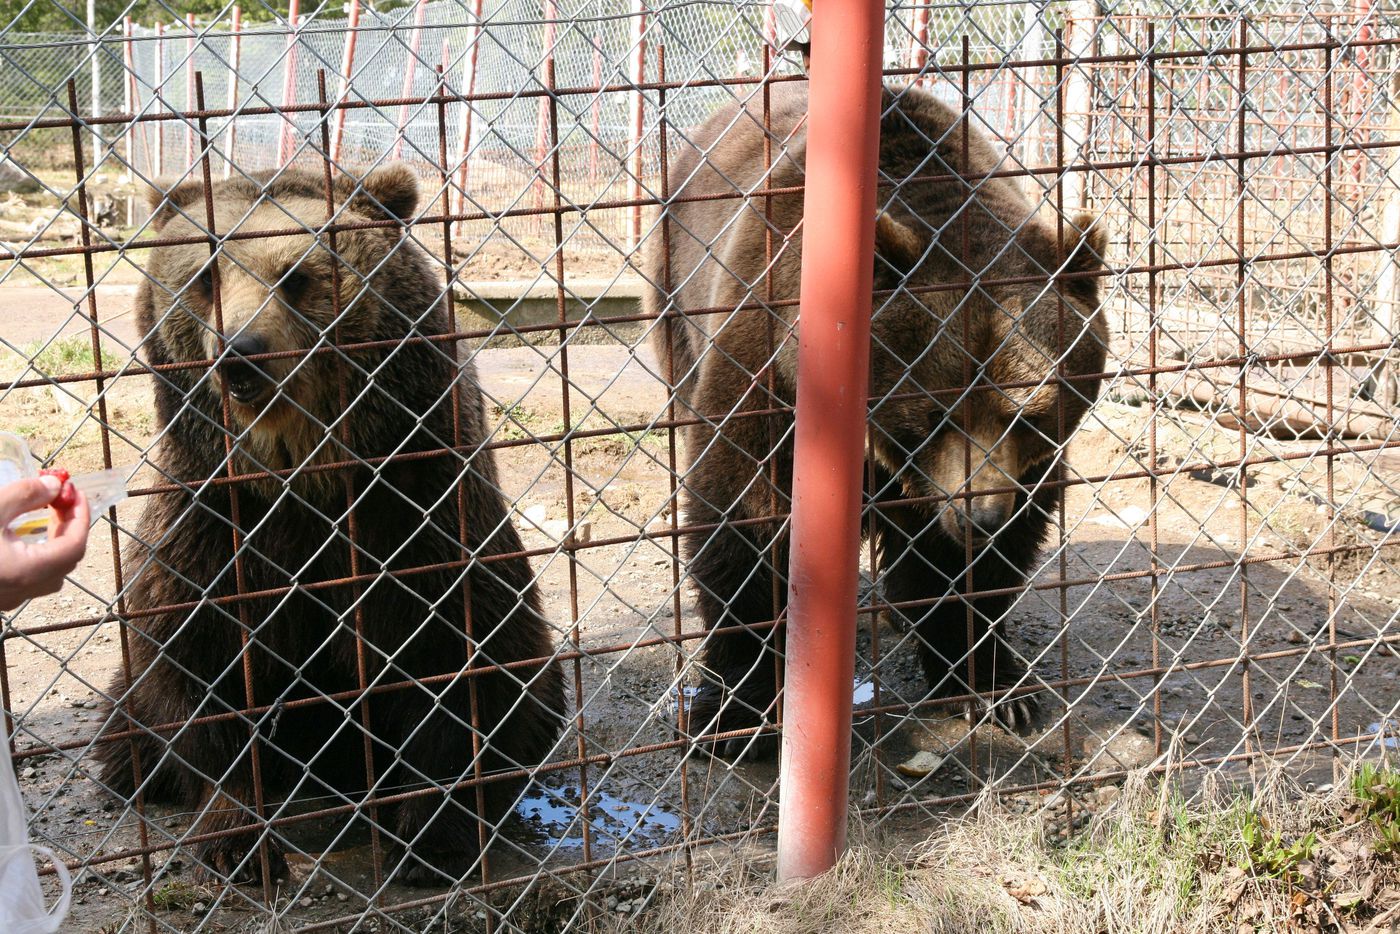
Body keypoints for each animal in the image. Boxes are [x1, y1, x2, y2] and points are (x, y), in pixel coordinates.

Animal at [93, 164, 565, 890]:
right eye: (204, 277)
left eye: (296, 276)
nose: (240, 353)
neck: (301, 472)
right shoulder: (213, 517)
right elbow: (191, 662)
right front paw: (237, 840)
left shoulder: (416, 502)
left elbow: (467, 654)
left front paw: (428, 838)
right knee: (125, 721)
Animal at [641, 84, 1103, 756]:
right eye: (933, 414)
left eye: (1030, 414)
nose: (982, 517)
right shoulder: (775, 363)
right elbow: (743, 516)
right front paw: (734, 714)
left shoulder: (1011, 470)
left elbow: (976, 560)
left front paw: (994, 682)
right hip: (676, 288)